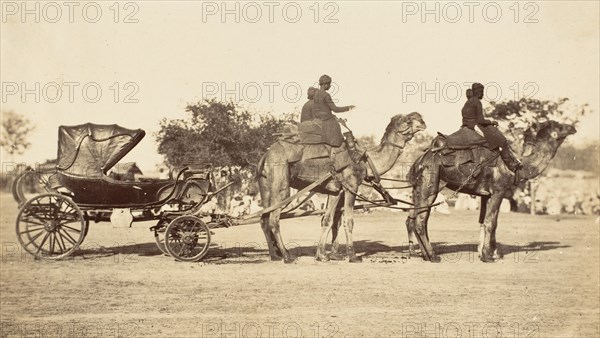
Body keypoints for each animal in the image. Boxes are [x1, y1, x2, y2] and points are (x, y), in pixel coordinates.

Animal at [258, 112, 426, 262]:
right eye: (407, 120)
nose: (422, 120)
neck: (366, 161)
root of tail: (266, 156)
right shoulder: (351, 186)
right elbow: (348, 221)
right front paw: (352, 256)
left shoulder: (335, 191)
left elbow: (328, 220)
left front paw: (322, 255)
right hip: (281, 183)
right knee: (274, 219)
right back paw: (287, 256)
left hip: (265, 186)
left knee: (264, 219)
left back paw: (274, 256)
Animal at [406, 120, 576, 262]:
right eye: (559, 126)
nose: (573, 127)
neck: (519, 165)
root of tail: (420, 160)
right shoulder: (499, 190)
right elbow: (492, 222)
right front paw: (488, 256)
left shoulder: (486, 195)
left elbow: (484, 221)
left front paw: (487, 252)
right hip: (431, 185)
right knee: (420, 220)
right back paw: (433, 256)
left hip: (418, 189)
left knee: (413, 219)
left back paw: (424, 255)